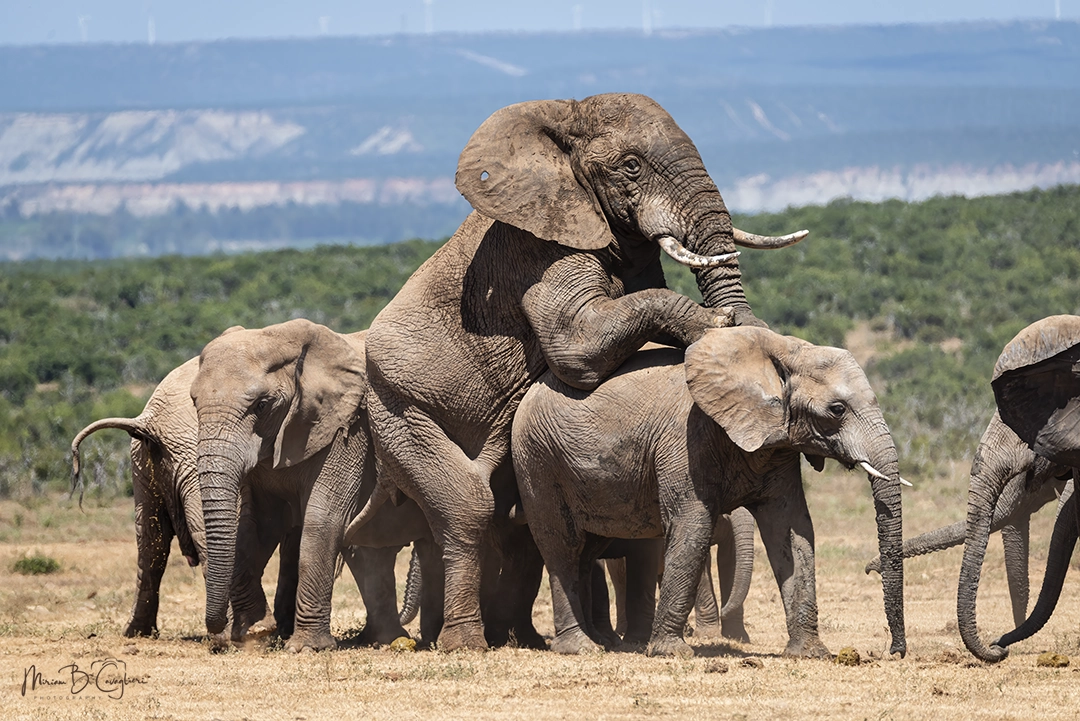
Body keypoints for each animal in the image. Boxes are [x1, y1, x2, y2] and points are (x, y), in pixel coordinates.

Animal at [347, 92, 808, 651]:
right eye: (631, 166)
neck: (562, 116)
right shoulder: (542, 251)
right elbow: (577, 344)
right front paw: (718, 323)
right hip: (398, 407)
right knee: (469, 507)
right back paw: (467, 642)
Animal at [511, 327, 907, 658]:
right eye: (837, 409)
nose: (894, 652)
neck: (782, 349)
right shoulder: (684, 439)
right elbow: (693, 527)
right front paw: (671, 653)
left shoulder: (777, 446)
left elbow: (791, 530)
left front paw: (811, 654)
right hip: (536, 457)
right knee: (561, 545)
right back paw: (580, 647)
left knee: (587, 549)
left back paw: (601, 642)